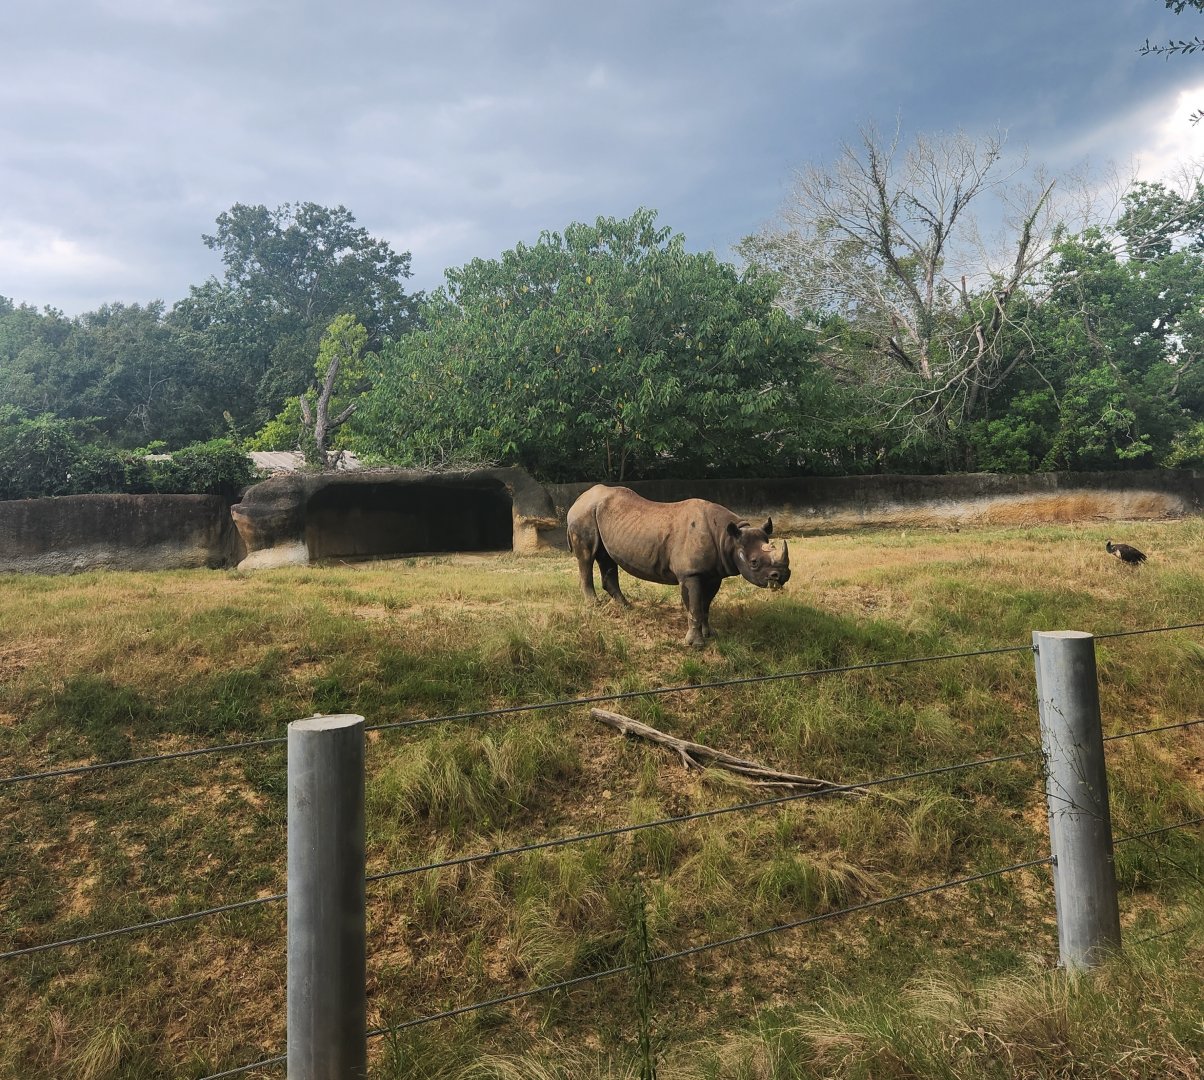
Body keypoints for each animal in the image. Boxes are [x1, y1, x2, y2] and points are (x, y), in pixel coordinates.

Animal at [566, 484, 790, 646]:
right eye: (754, 563)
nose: (782, 575)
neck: (727, 539)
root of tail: (578, 498)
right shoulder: (690, 573)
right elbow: (695, 607)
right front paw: (696, 645)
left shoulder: (713, 574)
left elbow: (705, 605)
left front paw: (711, 634)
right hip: (583, 515)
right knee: (586, 557)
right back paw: (595, 606)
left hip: (599, 515)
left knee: (606, 558)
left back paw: (627, 607)